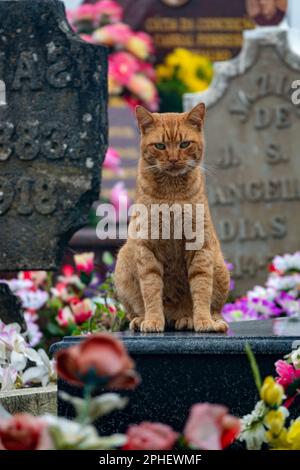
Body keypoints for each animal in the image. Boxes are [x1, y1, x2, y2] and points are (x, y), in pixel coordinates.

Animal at [115, 103, 230, 332]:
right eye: (160, 146)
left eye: (184, 144)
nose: (174, 159)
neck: (172, 194)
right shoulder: (147, 249)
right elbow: (151, 289)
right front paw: (152, 320)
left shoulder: (200, 247)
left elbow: (202, 289)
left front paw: (203, 321)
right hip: (122, 265)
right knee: (135, 309)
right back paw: (142, 319)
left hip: (220, 267)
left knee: (215, 307)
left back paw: (196, 319)